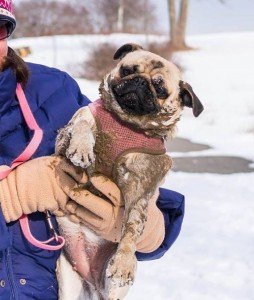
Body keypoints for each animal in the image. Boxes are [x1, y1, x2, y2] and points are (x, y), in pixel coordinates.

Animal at [55, 42, 204, 300]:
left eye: (160, 88)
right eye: (127, 70)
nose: (140, 82)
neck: (127, 122)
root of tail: (90, 281)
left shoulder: (140, 189)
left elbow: (133, 229)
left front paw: (124, 260)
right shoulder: (74, 127)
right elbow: (83, 125)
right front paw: (82, 148)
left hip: (111, 287)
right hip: (67, 279)